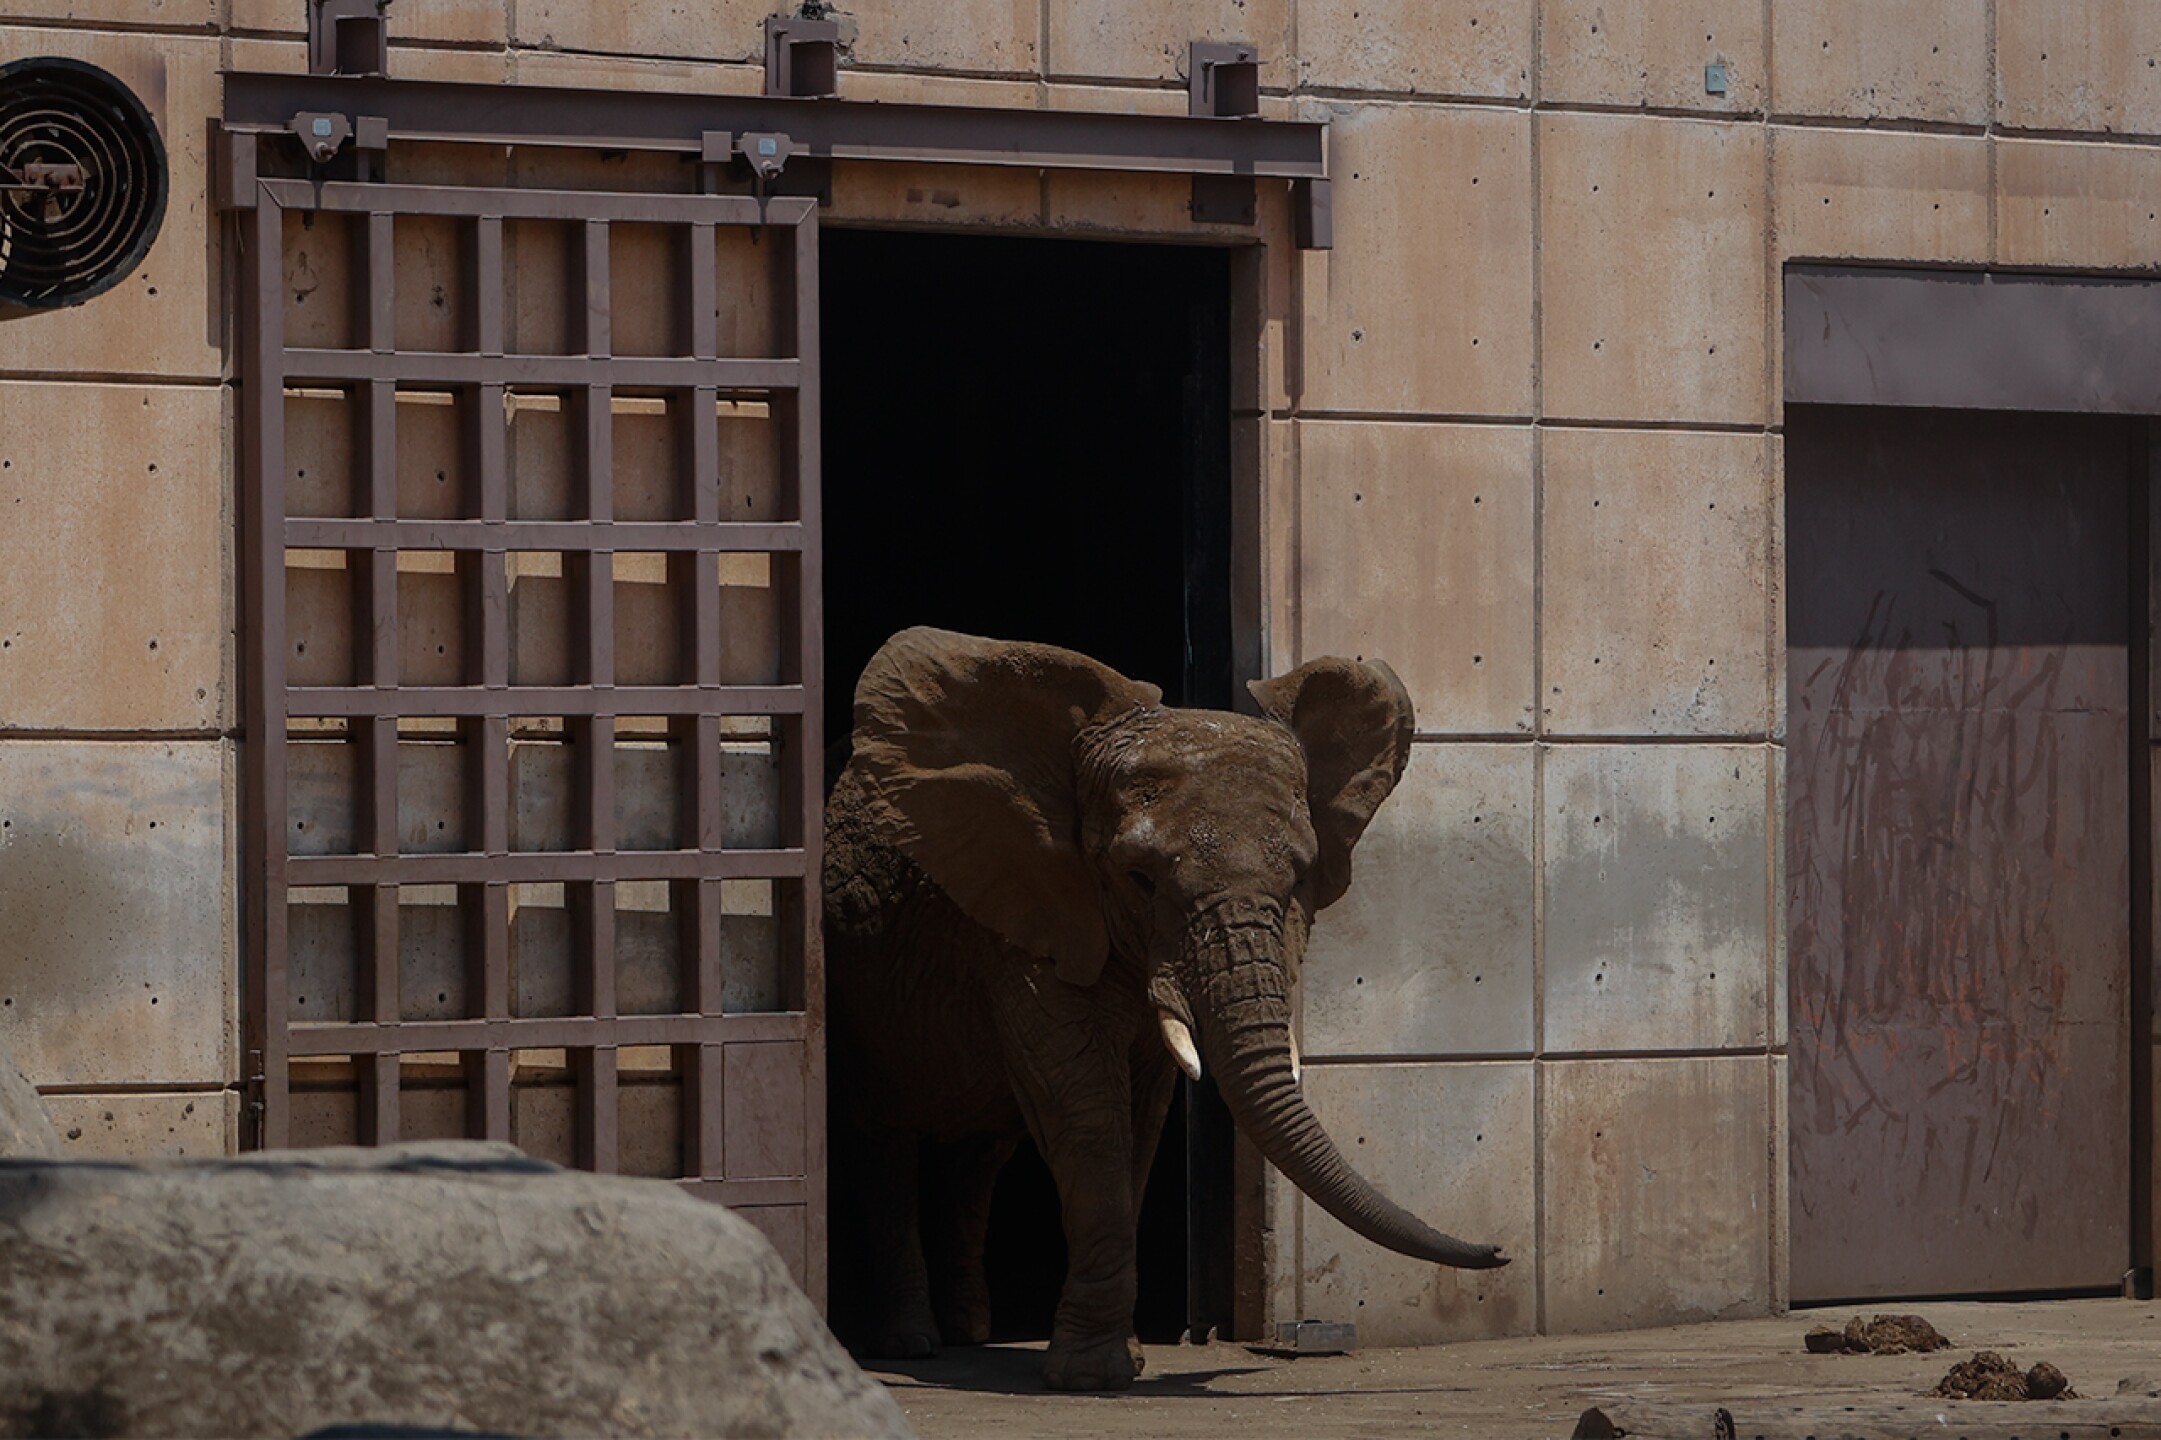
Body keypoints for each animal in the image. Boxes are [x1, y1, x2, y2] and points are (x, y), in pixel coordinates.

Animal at [823, 627, 1506, 1392]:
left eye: (1298, 878)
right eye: (1140, 878)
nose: (1499, 1251)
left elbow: (1143, 1114)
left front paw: (1118, 1360)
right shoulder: (1027, 912)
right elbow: (1084, 1106)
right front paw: (1091, 1376)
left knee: (979, 1154)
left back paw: (968, 1332)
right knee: (883, 1142)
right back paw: (909, 1344)